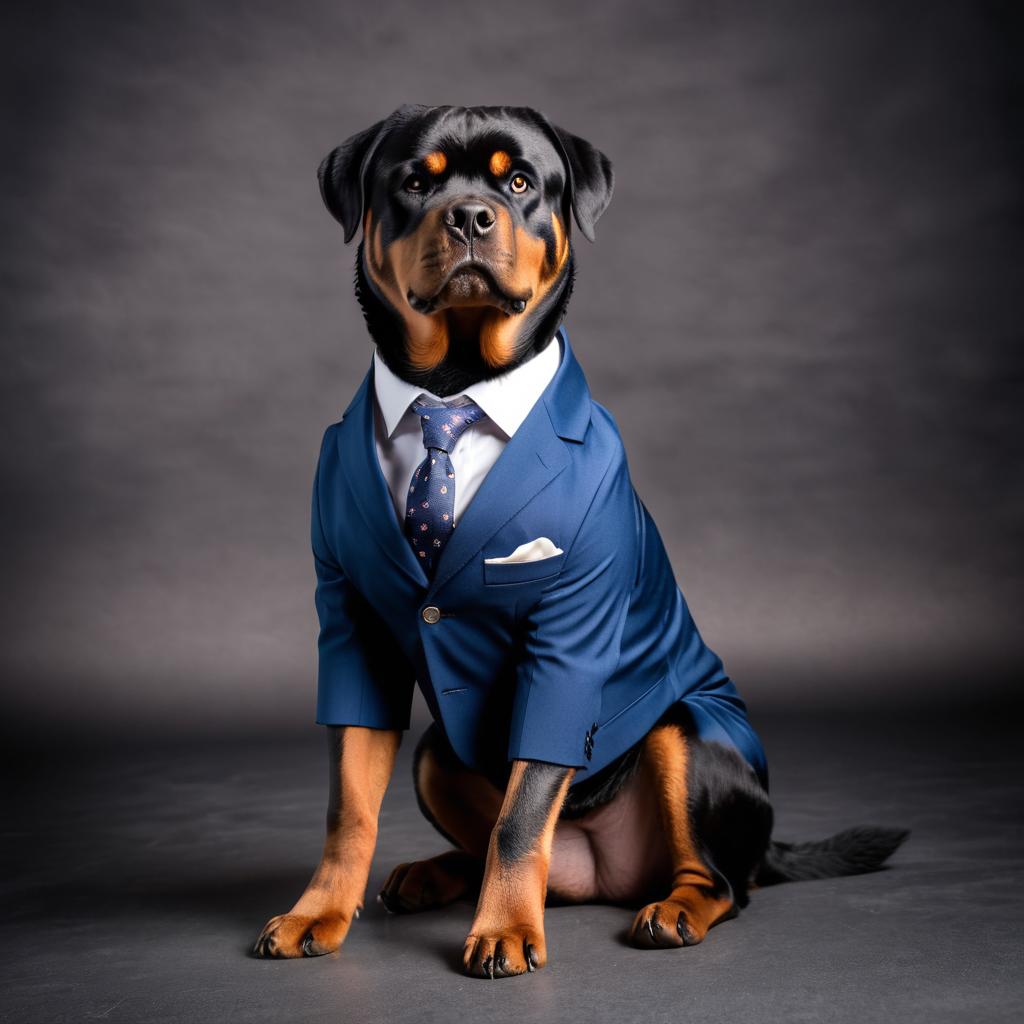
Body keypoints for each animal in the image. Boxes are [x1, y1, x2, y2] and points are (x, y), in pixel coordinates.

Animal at [251, 103, 909, 974]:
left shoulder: (568, 634)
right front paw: (319, 910)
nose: (468, 215)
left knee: (721, 879)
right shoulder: (352, 627)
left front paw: (503, 928)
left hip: (686, 732)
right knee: (492, 839)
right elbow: (348, 806)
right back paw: (435, 874)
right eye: (416, 182)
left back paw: (675, 907)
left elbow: (524, 810)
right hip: (438, 753)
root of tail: (601, 871)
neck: (454, 386)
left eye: (520, 182)